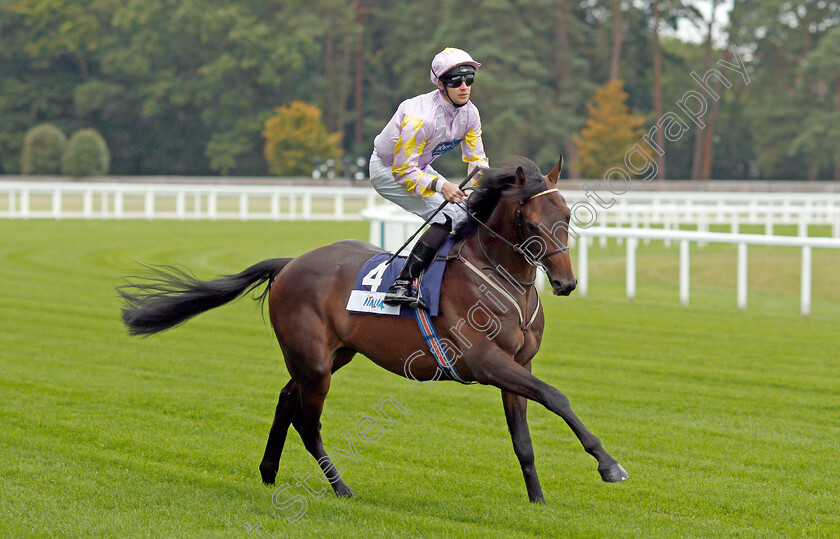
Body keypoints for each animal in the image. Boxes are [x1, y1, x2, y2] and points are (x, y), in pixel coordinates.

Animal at [120, 157, 632, 506]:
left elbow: (524, 437)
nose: (565, 283)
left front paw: (538, 499)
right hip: (314, 362)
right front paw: (609, 465)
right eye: (531, 220)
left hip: (331, 355)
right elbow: (555, 395)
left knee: (286, 400)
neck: (501, 278)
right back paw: (340, 487)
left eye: (567, 215)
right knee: (308, 421)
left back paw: (268, 471)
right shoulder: (485, 362)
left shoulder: (517, 363)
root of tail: (290, 264)